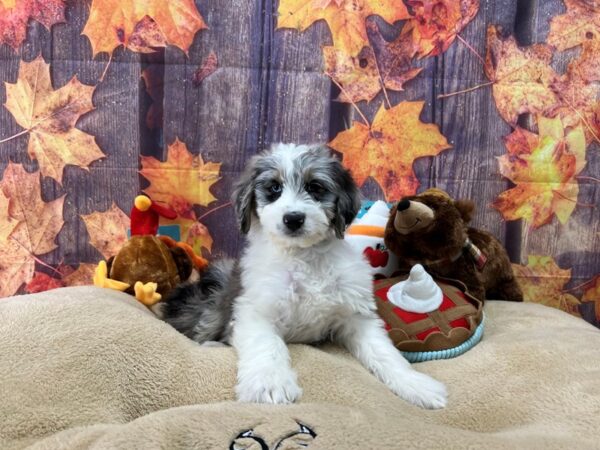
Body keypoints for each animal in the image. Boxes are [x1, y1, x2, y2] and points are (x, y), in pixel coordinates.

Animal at [162, 143, 448, 408]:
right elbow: (267, 346)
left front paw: (416, 385)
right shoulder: (256, 310)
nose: (293, 218)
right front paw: (270, 384)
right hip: (216, 294)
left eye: (315, 187)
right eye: (274, 189)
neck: (305, 258)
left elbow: (384, 352)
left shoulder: (356, 317)